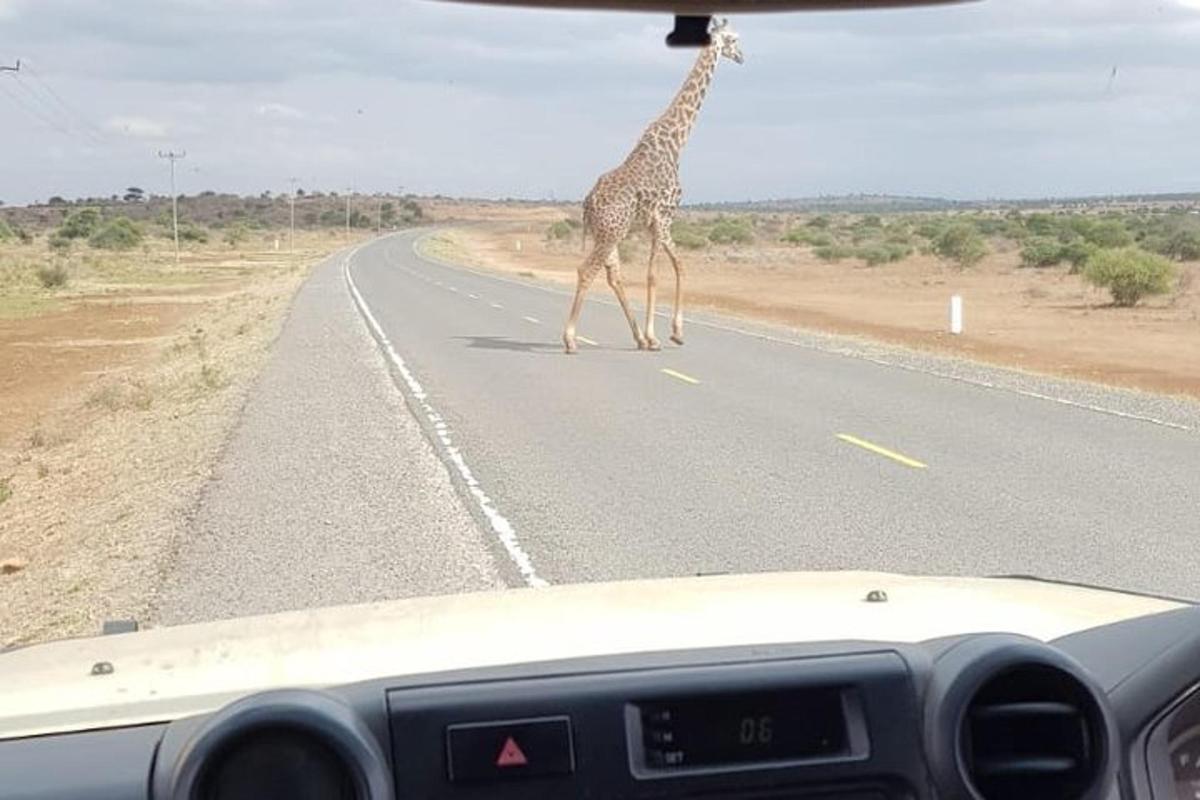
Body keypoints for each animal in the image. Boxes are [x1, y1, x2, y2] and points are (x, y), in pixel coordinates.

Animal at [561, 14, 739, 352]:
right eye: (734, 39)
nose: (742, 56)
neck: (677, 141)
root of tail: (587, 204)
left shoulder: (654, 223)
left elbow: (678, 265)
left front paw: (674, 333)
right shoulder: (664, 216)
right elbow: (655, 274)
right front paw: (660, 335)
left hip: (609, 235)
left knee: (613, 276)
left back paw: (637, 338)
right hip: (611, 233)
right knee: (586, 270)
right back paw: (571, 339)